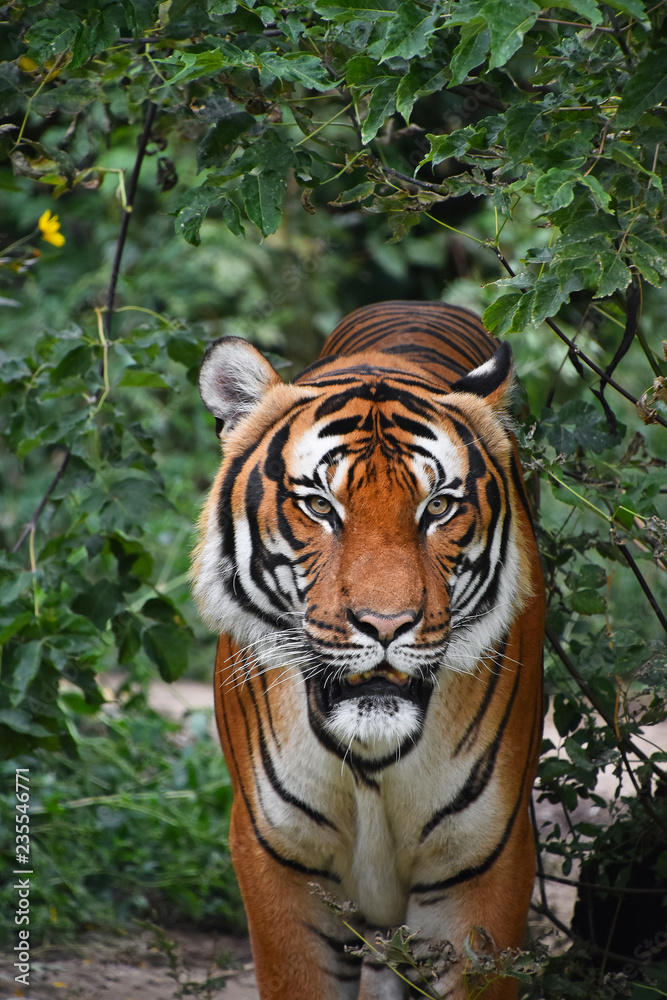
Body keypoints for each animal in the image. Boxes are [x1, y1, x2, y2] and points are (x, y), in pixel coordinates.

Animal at [191, 300, 545, 1000]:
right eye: (318, 505)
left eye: (439, 506)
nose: (386, 625)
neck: (373, 763)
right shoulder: (278, 860)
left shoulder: (484, 863)